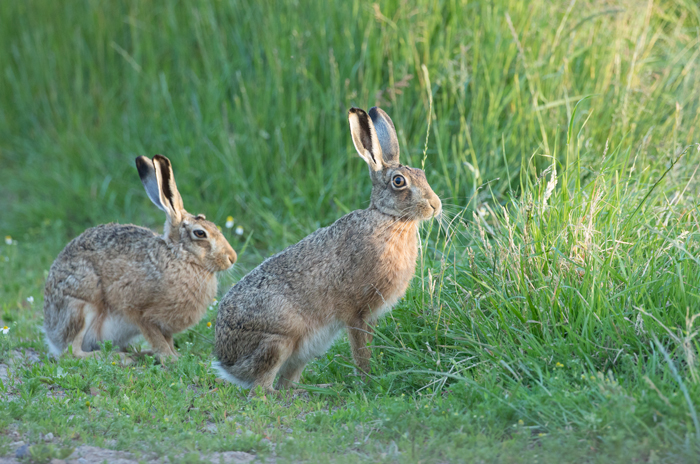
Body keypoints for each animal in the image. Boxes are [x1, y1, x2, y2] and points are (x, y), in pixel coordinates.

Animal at [43, 154, 237, 361]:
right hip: (81, 306)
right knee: (72, 352)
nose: (232, 258)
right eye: (200, 233)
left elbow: (167, 339)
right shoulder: (138, 312)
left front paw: (175, 355)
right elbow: (157, 338)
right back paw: (119, 358)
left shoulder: (165, 325)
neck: (178, 256)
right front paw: (171, 359)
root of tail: (51, 334)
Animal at [214, 107, 441, 393]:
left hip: (306, 349)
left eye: (422, 173)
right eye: (399, 181)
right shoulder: (357, 312)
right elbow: (361, 350)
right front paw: (366, 381)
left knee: (285, 383)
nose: (435, 205)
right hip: (278, 340)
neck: (388, 219)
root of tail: (226, 362)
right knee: (263, 390)